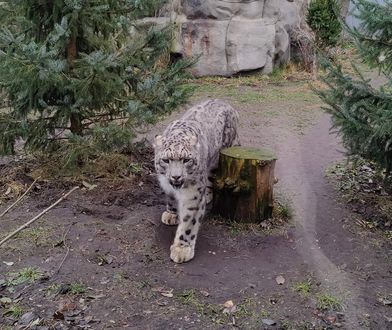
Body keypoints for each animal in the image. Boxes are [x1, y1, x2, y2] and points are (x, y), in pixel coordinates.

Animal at [153, 98, 239, 262]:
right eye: (166, 160)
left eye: (186, 160)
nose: (176, 176)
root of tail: (224, 101)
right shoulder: (166, 185)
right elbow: (171, 197)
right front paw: (171, 213)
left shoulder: (192, 195)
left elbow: (188, 223)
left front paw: (181, 249)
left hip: (219, 158)